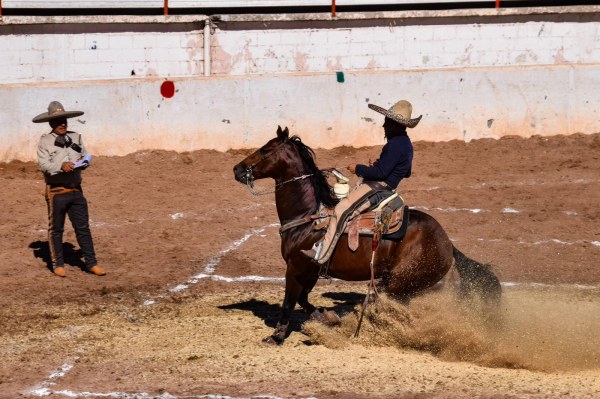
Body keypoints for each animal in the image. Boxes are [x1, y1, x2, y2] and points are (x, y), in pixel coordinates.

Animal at [233, 126, 502, 346]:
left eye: (265, 150)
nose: (237, 169)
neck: (309, 216)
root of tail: (448, 244)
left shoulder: (295, 267)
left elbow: (289, 301)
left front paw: (276, 336)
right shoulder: (310, 271)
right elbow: (303, 300)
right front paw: (329, 317)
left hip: (398, 283)